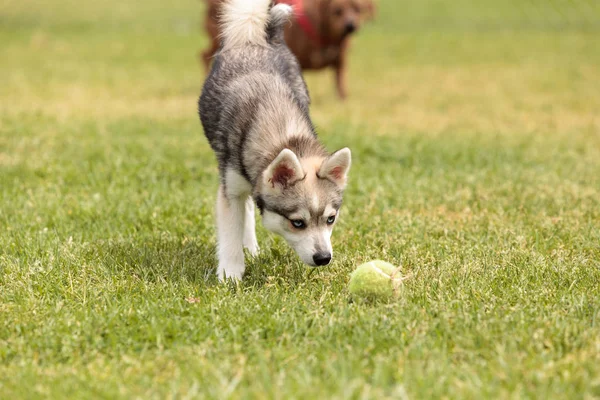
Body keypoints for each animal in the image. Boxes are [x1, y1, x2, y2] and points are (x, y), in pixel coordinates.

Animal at [199, 0, 354, 282]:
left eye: (330, 219)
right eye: (297, 223)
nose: (324, 258)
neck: (283, 133)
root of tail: (258, 39)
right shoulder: (230, 188)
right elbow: (231, 230)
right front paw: (230, 273)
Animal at [204, 0, 378, 99]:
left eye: (358, 9)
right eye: (337, 11)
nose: (350, 26)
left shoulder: (341, 61)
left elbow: (341, 86)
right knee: (203, 56)